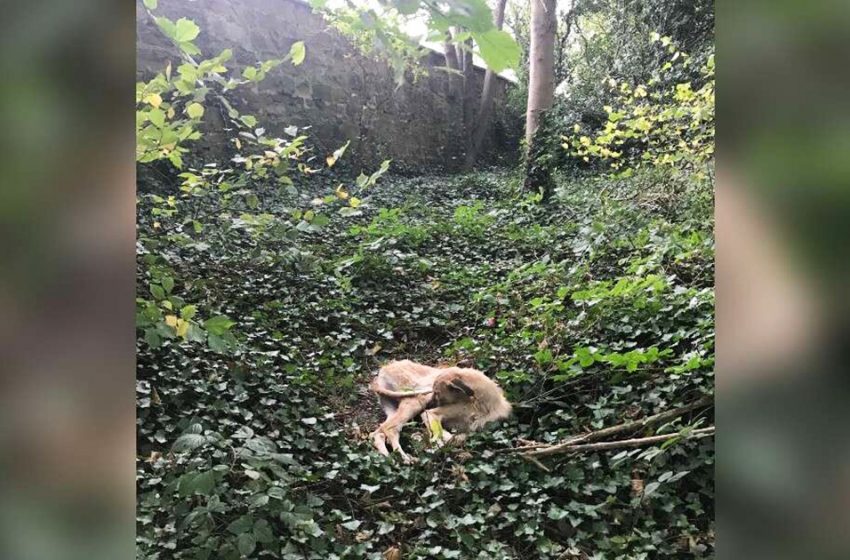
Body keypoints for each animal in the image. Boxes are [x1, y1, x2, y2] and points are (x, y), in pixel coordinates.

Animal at [366, 358, 510, 464]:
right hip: (415, 401)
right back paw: (404, 458)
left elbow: (460, 437)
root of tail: (384, 368)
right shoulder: (431, 414)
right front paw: (434, 443)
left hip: (396, 407)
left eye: (438, 394)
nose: (429, 405)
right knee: (390, 429)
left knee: (377, 433)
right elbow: (444, 436)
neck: (479, 402)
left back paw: (389, 458)